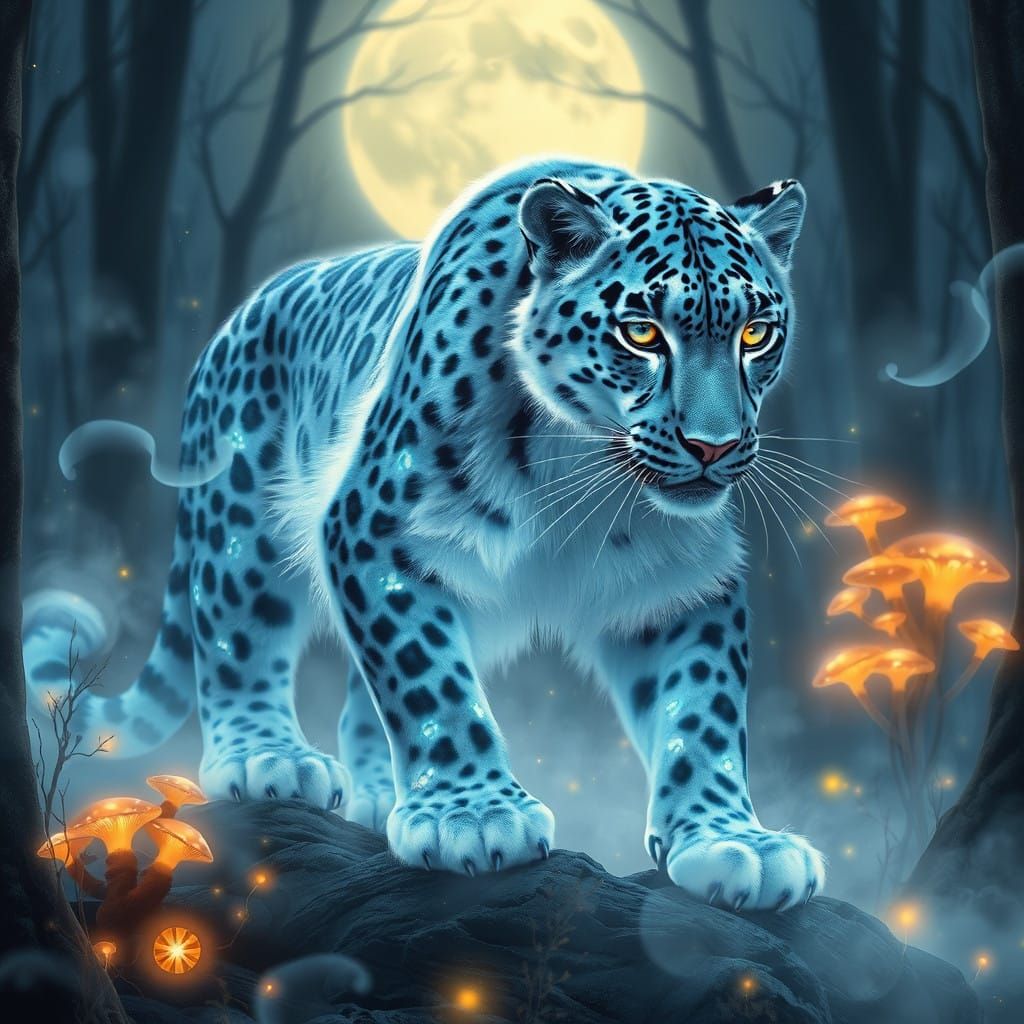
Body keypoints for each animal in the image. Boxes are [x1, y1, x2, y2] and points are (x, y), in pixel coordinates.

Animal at [23, 158, 825, 910]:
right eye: (642, 332)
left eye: (756, 333)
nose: (714, 447)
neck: (583, 467)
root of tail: (238, 318)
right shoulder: (375, 532)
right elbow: (428, 681)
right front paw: (473, 819)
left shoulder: (683, 581)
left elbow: (705, 711)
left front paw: (732, 842)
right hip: (241, 525)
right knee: (238, 635)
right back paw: (268, 758)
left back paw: (378, 793)